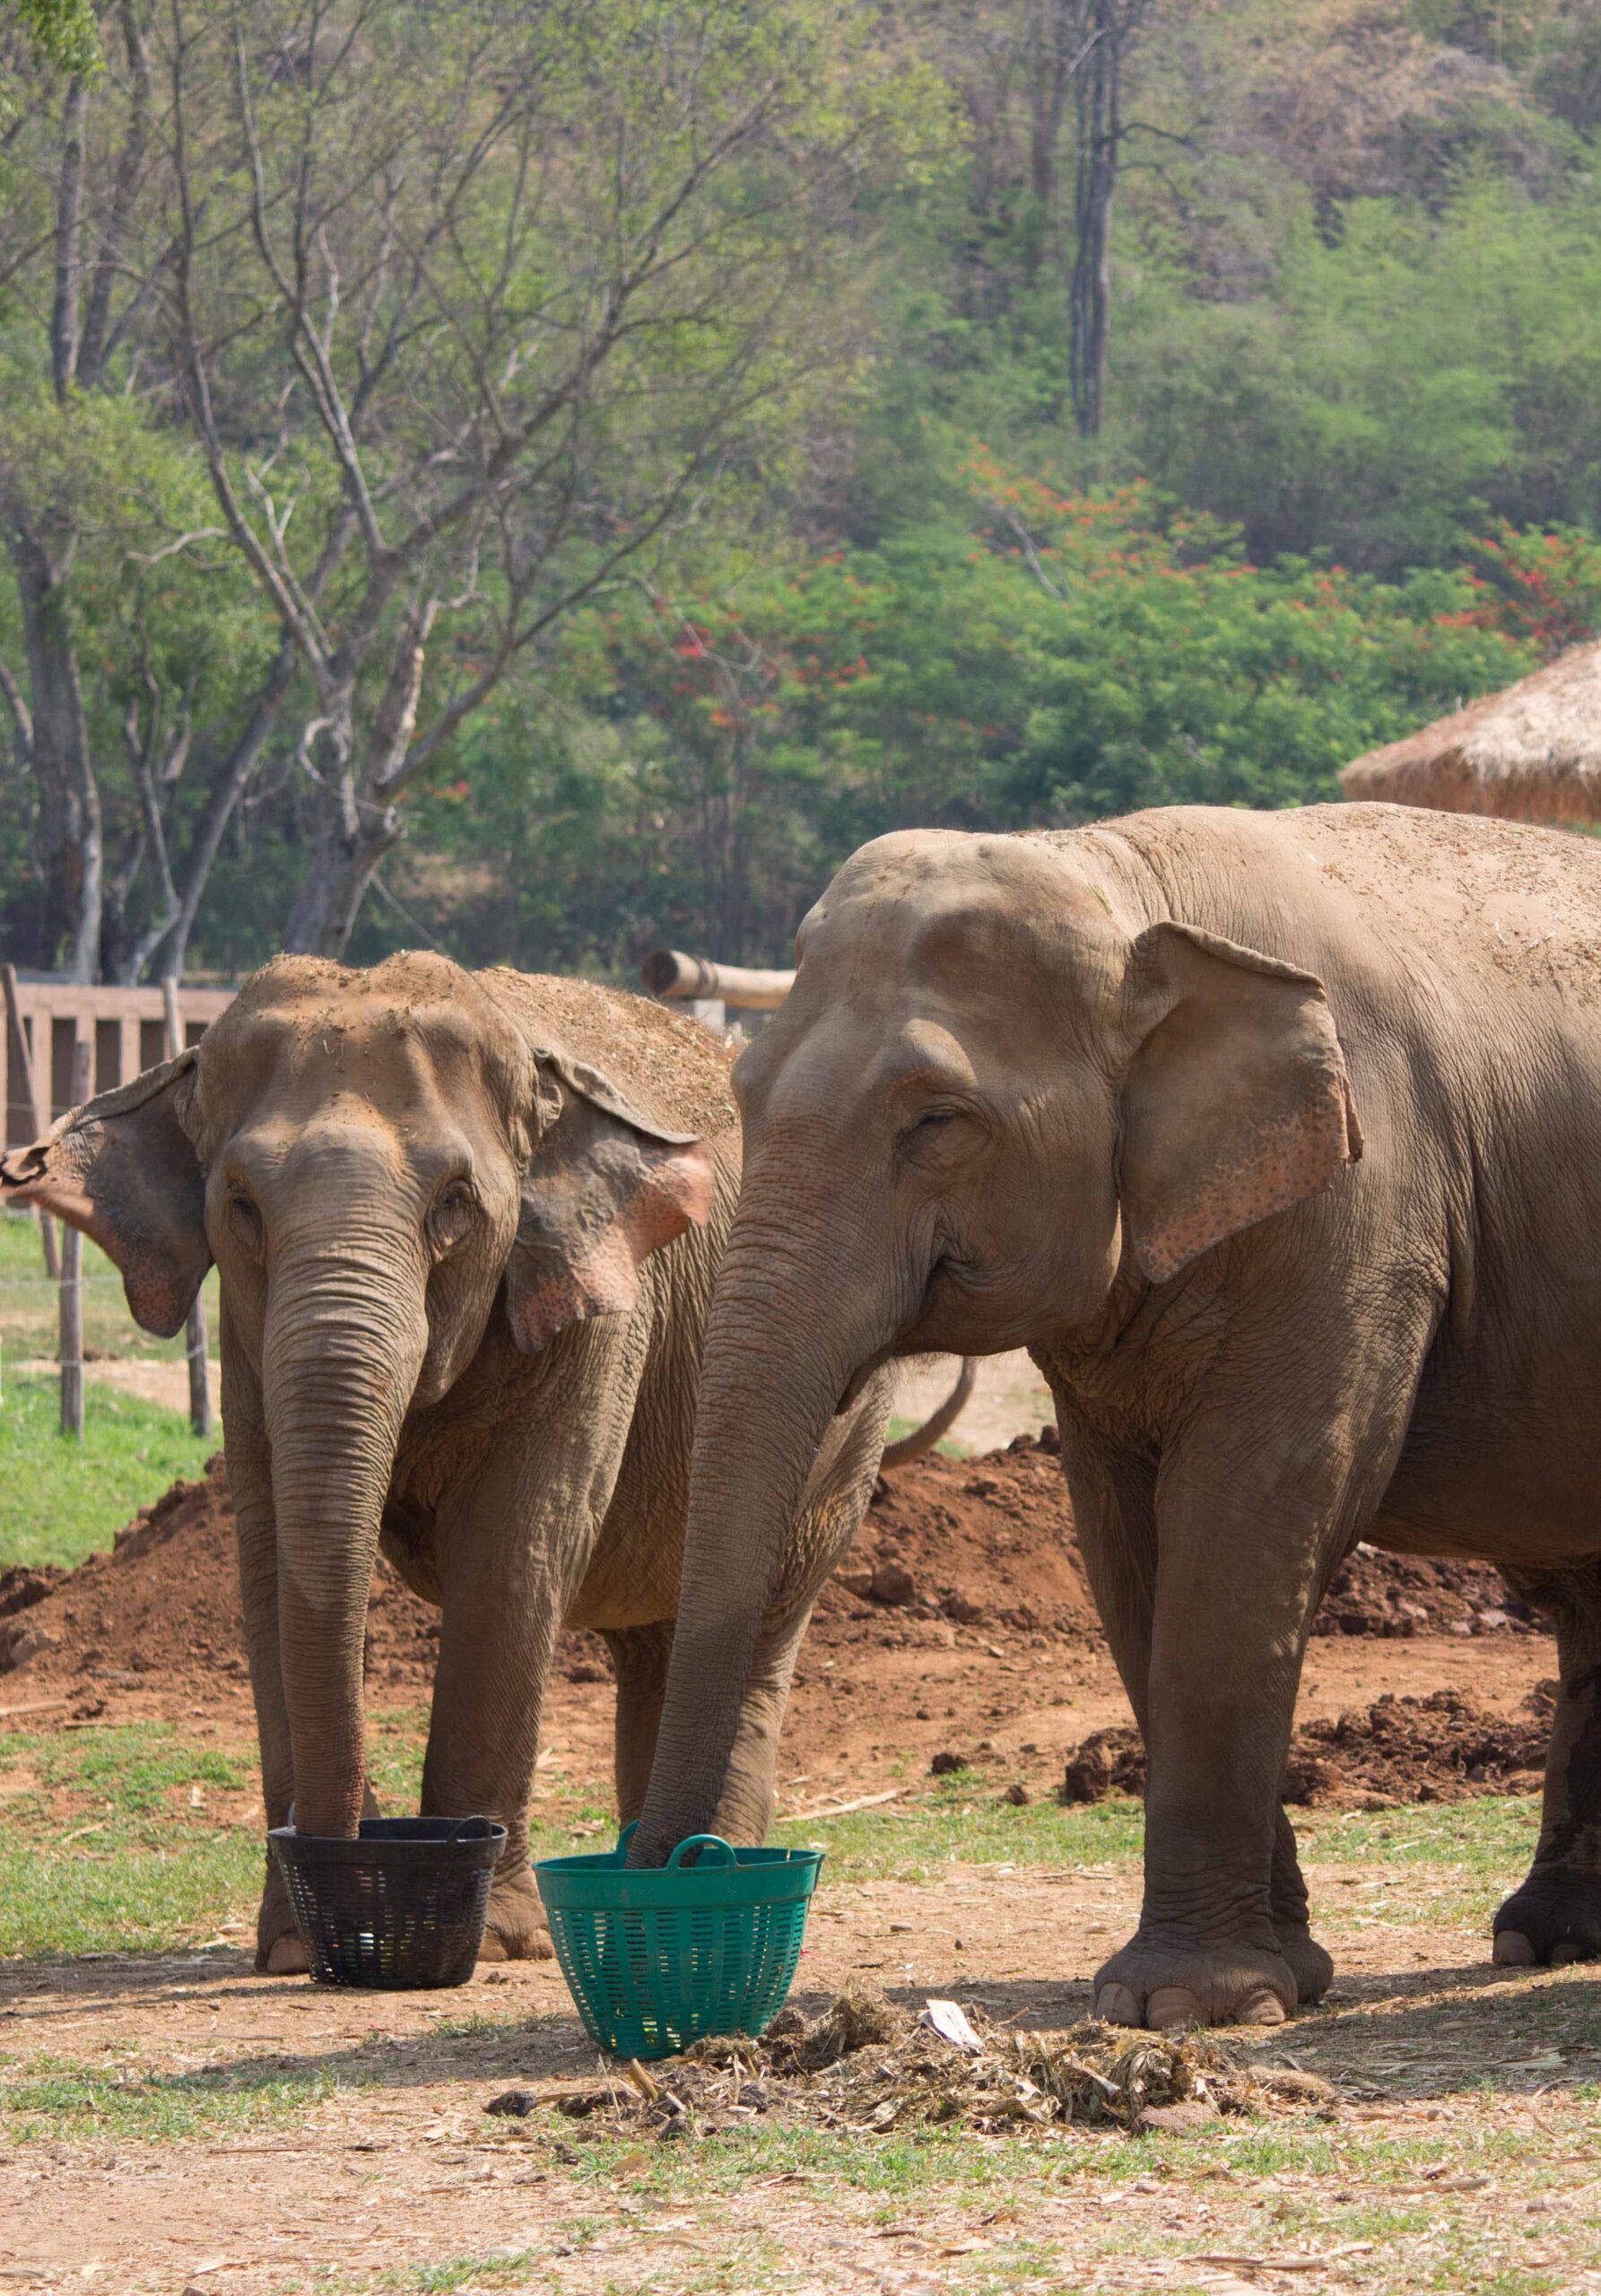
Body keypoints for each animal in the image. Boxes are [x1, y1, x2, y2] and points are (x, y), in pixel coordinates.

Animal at [1, 951, 915, 1972]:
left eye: (454, 1205)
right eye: (240, 1206)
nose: (340, 1847)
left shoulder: (598, 1304)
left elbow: (516, 1556)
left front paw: (499, 1938)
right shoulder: (245, 1337)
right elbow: (271, 1563)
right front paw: (295, 1947)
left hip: (847, 1421)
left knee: (759, 1629)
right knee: (658, 1650)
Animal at [633, 801, 1601, 2029]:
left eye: (938, 1120)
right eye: (745, 1095)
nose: (666, 1871)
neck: (1122, 878)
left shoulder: (1363, 1209)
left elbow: (1249, 1519)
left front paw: (1187, 2003)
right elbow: (1127, 1550)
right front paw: (1276, 1979)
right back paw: (1548, 1936)